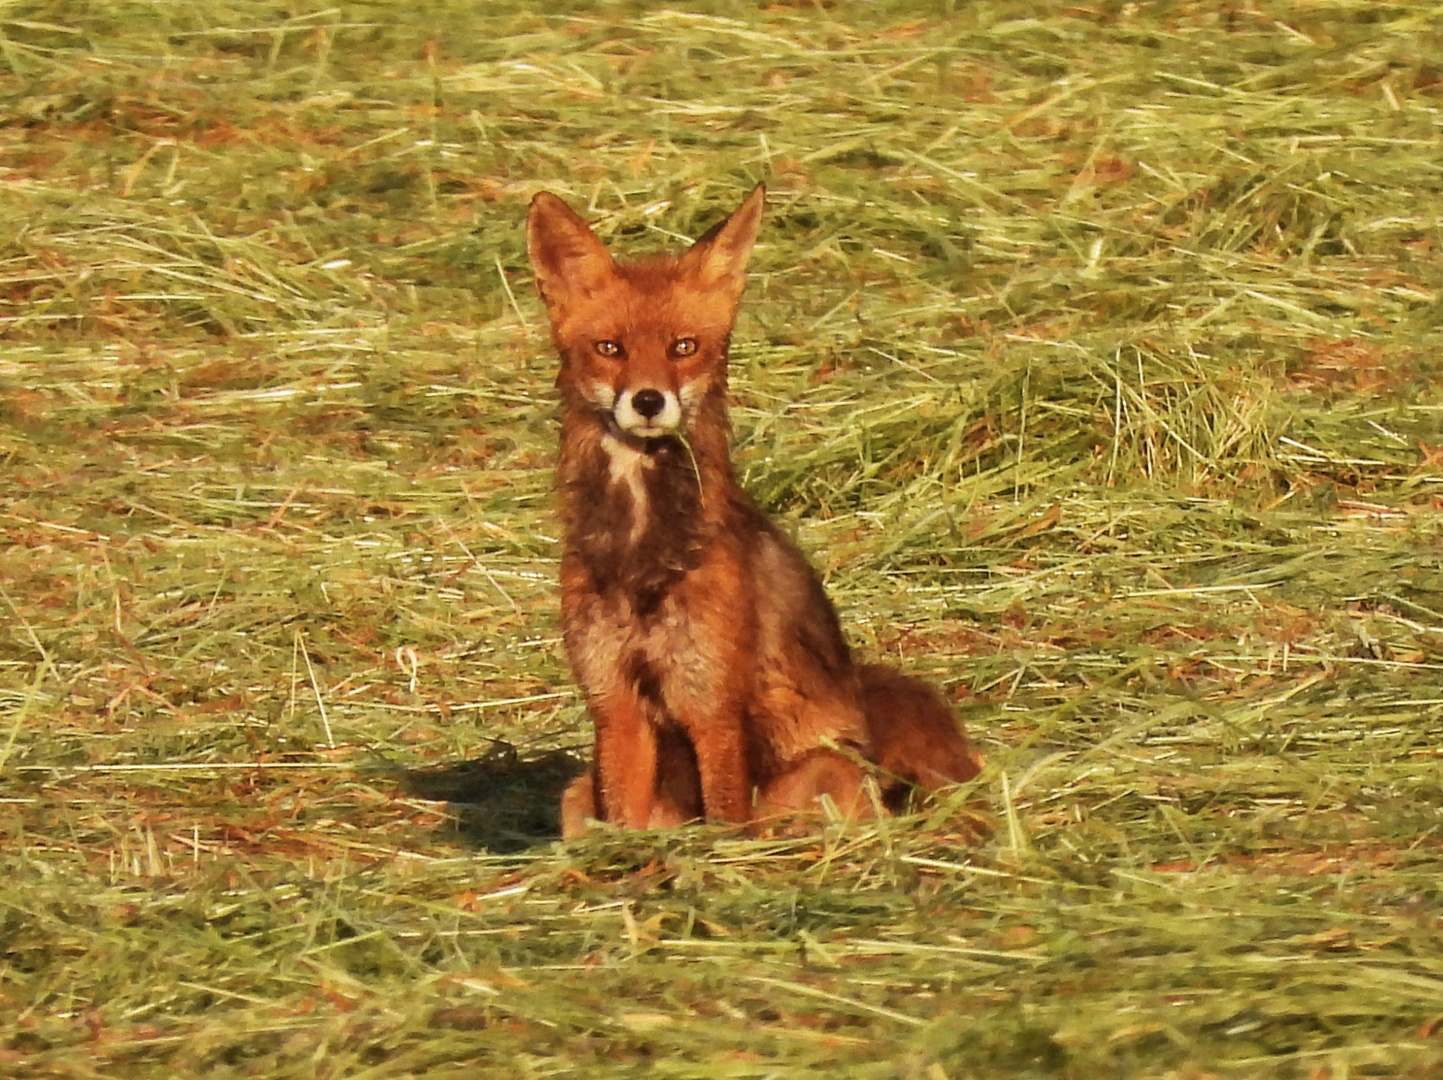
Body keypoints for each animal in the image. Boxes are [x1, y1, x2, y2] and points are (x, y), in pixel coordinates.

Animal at [522, 183, 981, 837]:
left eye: (683, 348)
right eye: (609, 349)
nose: (648, 400)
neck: (642, 552)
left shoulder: (711, 701)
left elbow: (724, 819)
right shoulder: (614, 701)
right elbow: (625, 816)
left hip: (818, 773)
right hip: (576, 794)